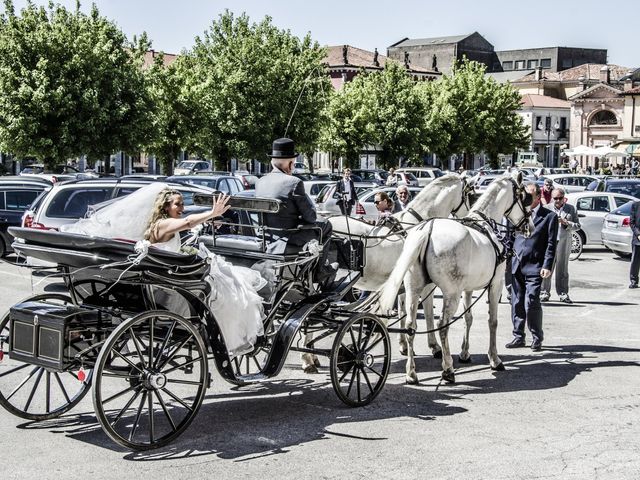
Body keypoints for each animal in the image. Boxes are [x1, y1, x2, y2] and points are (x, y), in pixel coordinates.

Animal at [300, 174, 476, 374]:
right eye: (471, 194)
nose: (470, 219)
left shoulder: (402, 285)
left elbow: (402, 311)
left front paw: (404, 345)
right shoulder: (425, 285)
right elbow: (428, 313)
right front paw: (435, 347)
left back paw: (311, 355)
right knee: (309, 317)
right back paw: (307, 359)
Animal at [378, 172, 532, 382]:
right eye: (524, 197)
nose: (529, 226)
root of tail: (428, 230)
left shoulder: (467, 287)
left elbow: (468, 318)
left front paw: (465, 353)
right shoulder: (496, 284)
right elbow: (492, 322)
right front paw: (494, 359)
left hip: (414, 288)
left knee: (410, 325)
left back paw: (411, 372)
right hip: (451, 293)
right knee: (442, 325)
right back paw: (448, 369)